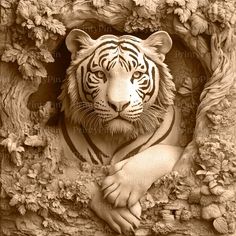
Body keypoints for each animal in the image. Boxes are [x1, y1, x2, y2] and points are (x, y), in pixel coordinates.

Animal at [58, 29, 183, 234]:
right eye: (100, 74)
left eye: (137, 74)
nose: (118, 104)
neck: (113, 137)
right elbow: (77, 176)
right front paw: (118, 211)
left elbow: (162, 152)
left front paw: (121, 188)